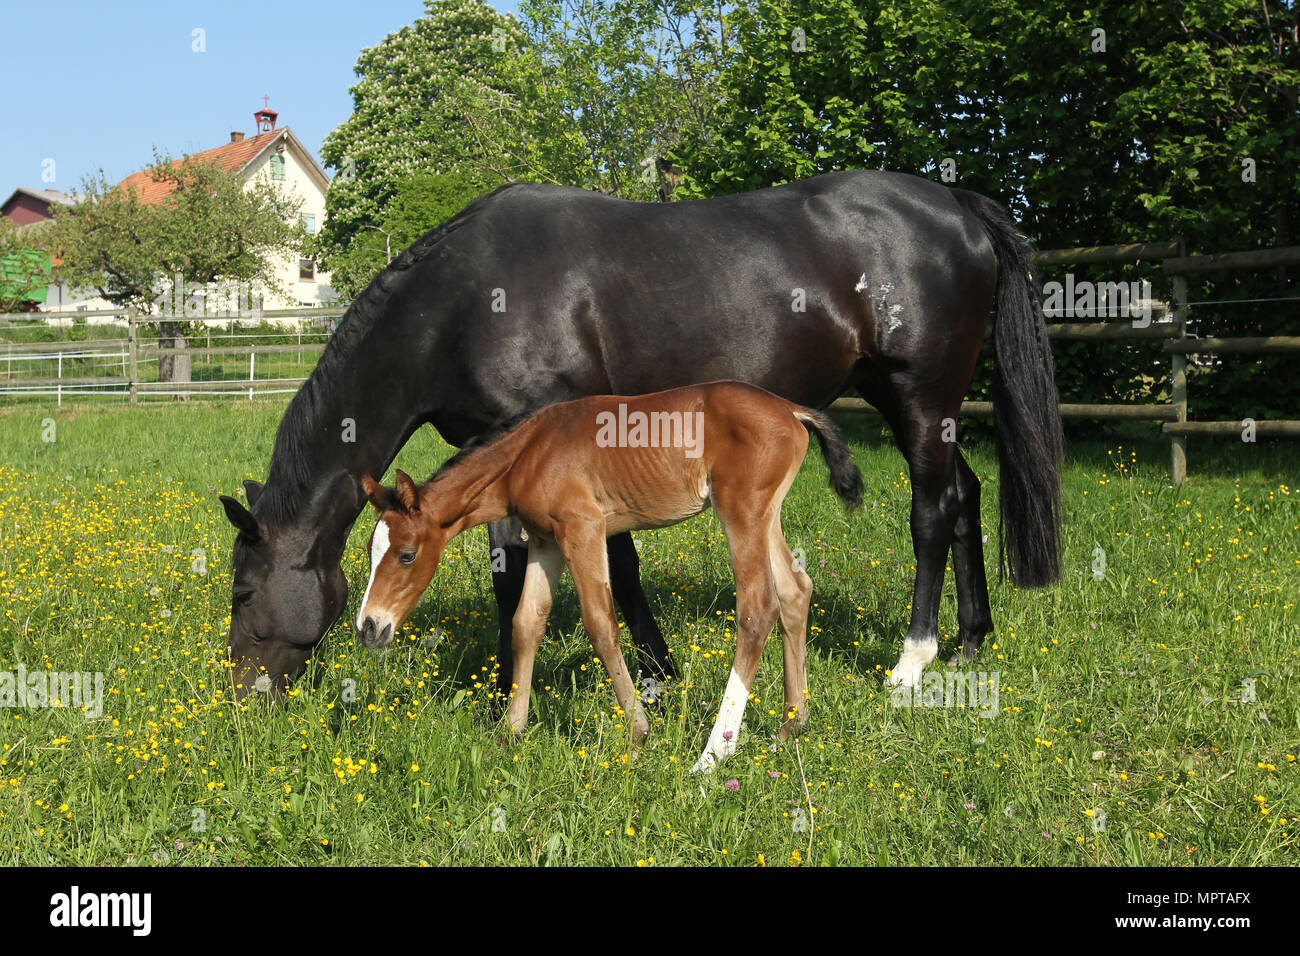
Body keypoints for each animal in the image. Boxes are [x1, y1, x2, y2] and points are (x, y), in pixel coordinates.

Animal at [218, 170, 1060, 697]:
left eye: (243, 589)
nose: (243, 696)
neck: (466, 302)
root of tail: (954, 201)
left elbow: (534, 577)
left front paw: (512, 692)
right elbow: (611, 565)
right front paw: (653, 673)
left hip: (920, 395)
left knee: (931, 514)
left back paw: (912, 662)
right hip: (913, 403)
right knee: (965, 496)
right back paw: (972, 640)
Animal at [356, 377, 863, 775]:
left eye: (406, 555)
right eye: (368, 551)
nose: (368, 628)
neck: (529, 451)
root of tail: (791, 410)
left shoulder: (583, 528)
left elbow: (601, 623)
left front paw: (638, 732)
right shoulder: (545, 540)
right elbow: (526, 623)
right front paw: (510, 733)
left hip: (741, 511)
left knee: (758, 608)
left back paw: (712, 756)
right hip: (765, 515)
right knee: (796, 592)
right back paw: (790, 727)